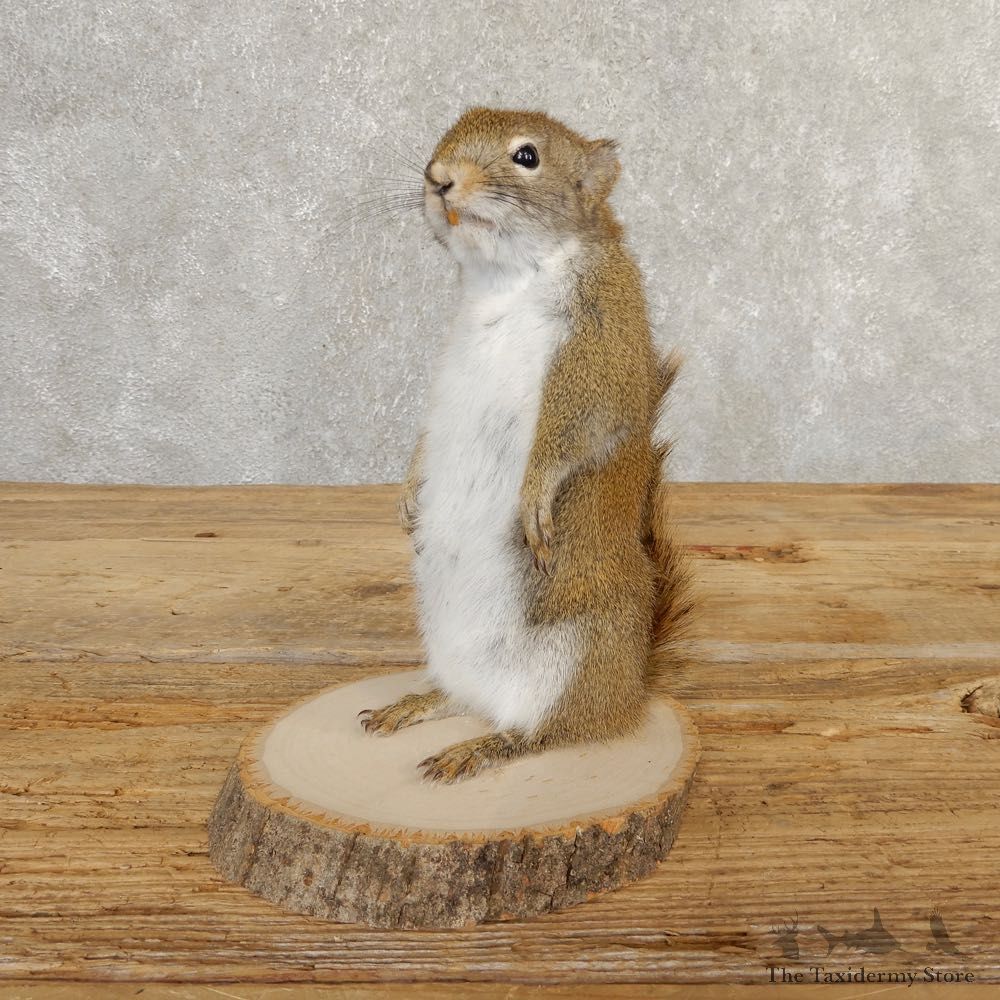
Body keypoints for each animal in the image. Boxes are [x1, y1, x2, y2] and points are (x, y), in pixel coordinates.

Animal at [358, 107, 691, 783]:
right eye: (448, 129)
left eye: (527, 157)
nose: (438, 177)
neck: (507, 279)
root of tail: (630, 689)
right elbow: (426, 435)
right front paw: (408, 491)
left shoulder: (602, 348)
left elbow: (579, 429)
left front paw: (535, 491)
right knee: (466, 698)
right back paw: (420, 704)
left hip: (574, 656)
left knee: (545, 733)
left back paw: (485, 747)